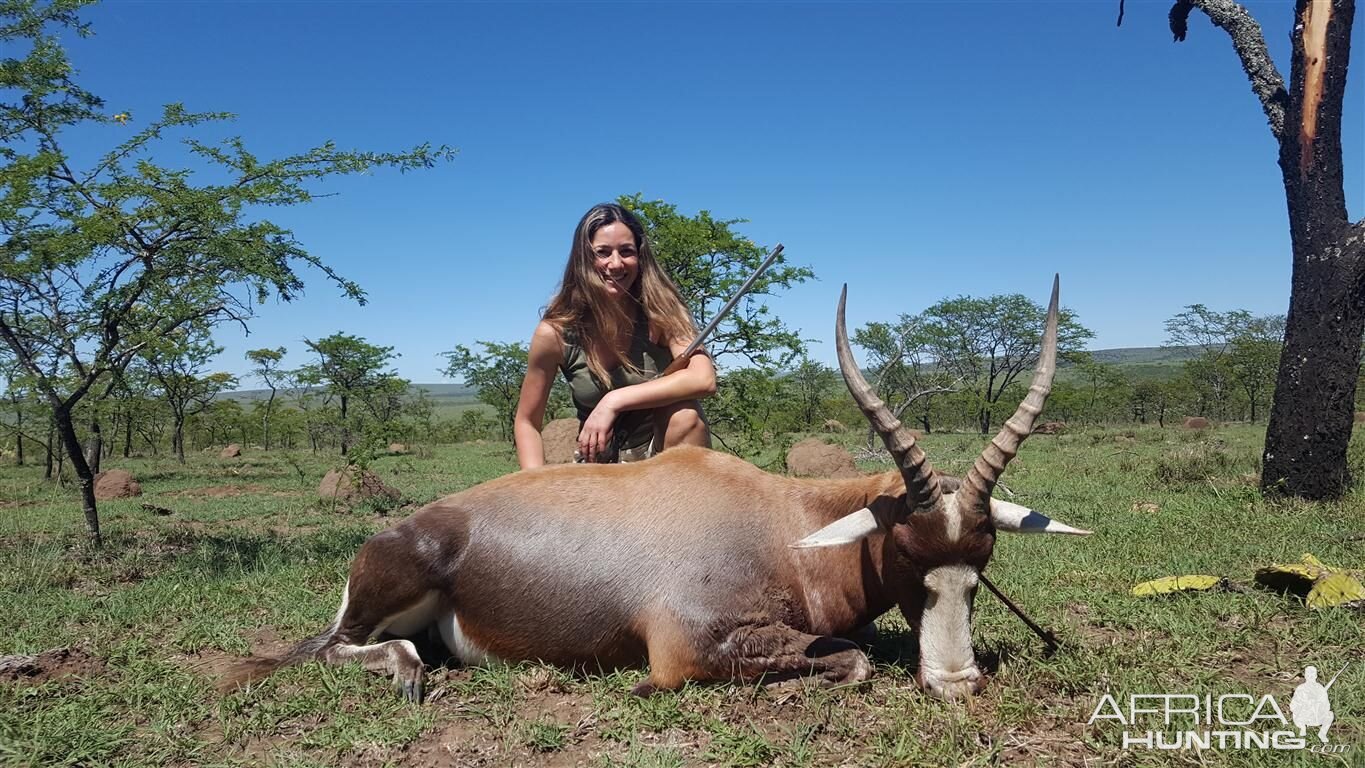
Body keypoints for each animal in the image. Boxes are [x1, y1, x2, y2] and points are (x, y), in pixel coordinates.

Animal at [226, 278, 1097, 703]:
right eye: (908, 555)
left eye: (979, 562)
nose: (954, 682)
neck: (777, 519)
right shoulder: (688, 644)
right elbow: (848, 661)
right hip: (382, 598)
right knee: (343, 648)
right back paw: (405, 675)